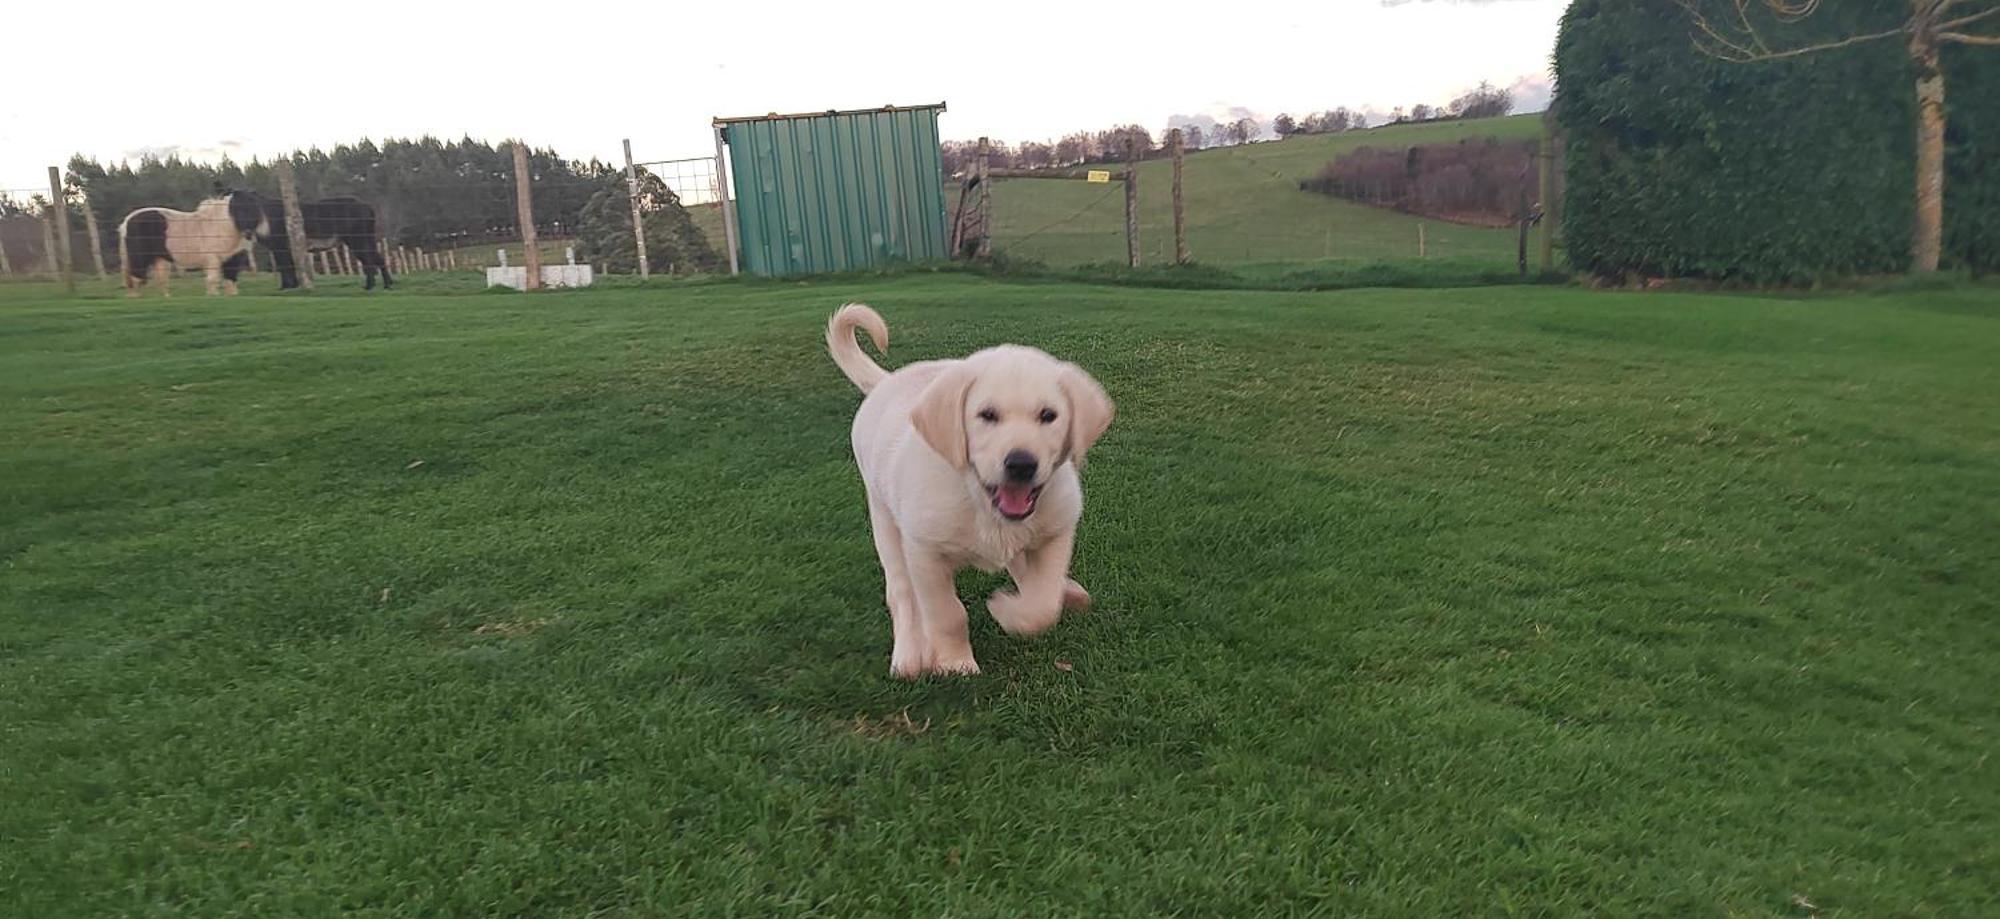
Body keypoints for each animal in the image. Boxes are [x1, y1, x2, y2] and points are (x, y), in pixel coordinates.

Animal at [118, 191, 268, 295]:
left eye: (256, 208)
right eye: (239, 209)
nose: (249, 233)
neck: (220, 226)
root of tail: (127, 220)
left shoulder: (231, 260)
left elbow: (231, 284)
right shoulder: (212, 259)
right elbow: (212, 280)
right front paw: (213, 296)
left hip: (160, 260)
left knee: (161, 282)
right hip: (140, 259)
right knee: (136, 280)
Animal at [258, 197, 394, 291]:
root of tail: (369, 208)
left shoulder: (281, 247)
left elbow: (285, 266)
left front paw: (287, 287)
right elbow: (287, 266)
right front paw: (289, 286)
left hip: (358, 241)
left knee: (370, 260)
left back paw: (371, 286)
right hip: (364, 240)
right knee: (377, 259)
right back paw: (386, 285)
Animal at [824, 305, 1120, 679]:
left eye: (1048, 415)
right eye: (987, 415)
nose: (1021, 464)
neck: (979, 501)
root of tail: (886, 381)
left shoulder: (1058, 530)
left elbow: (1043, 600)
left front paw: (1010, 610)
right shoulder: (925, 552)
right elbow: (947, 613)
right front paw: (955, 662)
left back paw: (1065, 591)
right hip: (884, 519)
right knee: (901, 591)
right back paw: (910, 653)